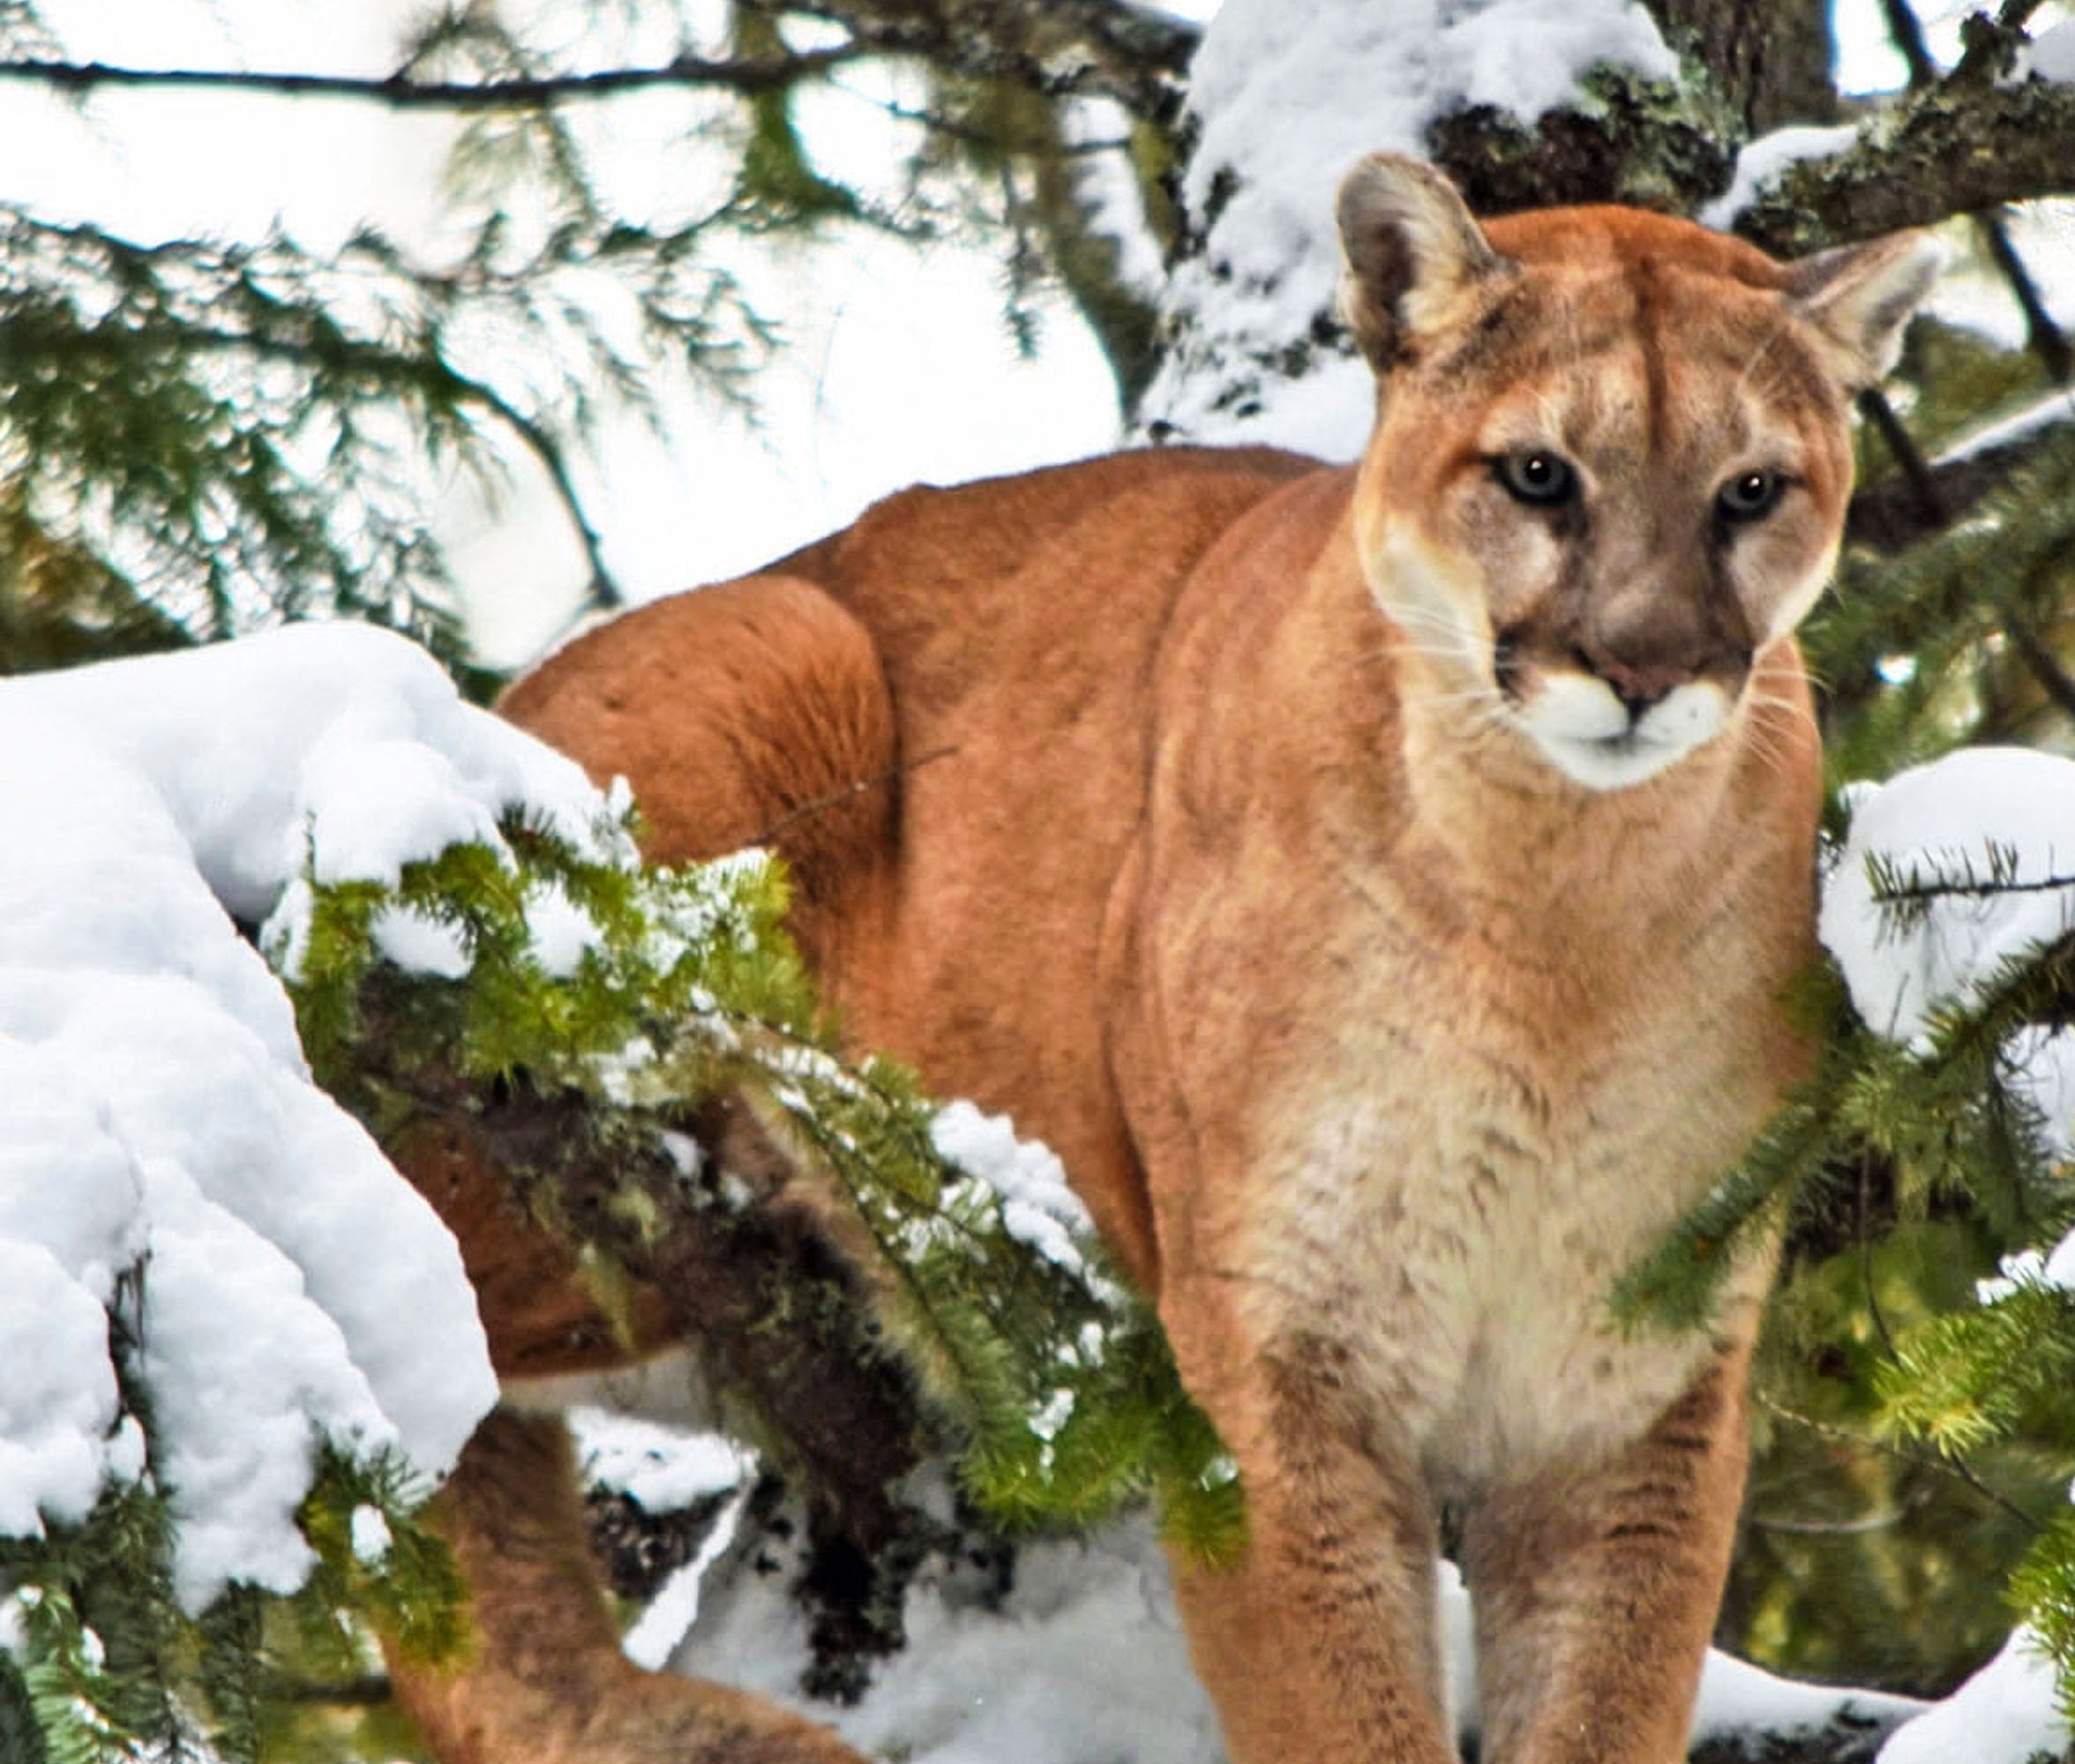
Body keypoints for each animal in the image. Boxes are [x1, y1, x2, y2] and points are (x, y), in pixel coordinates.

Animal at [390, 154, 1942, 1760]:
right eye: (1537, 475)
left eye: (1749, 490)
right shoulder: (1279, 1367)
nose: (1639, 671)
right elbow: (1346, 1718)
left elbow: (1606, 1705)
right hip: (776, 667)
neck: (1555, 920)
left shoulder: (1632, 1395)